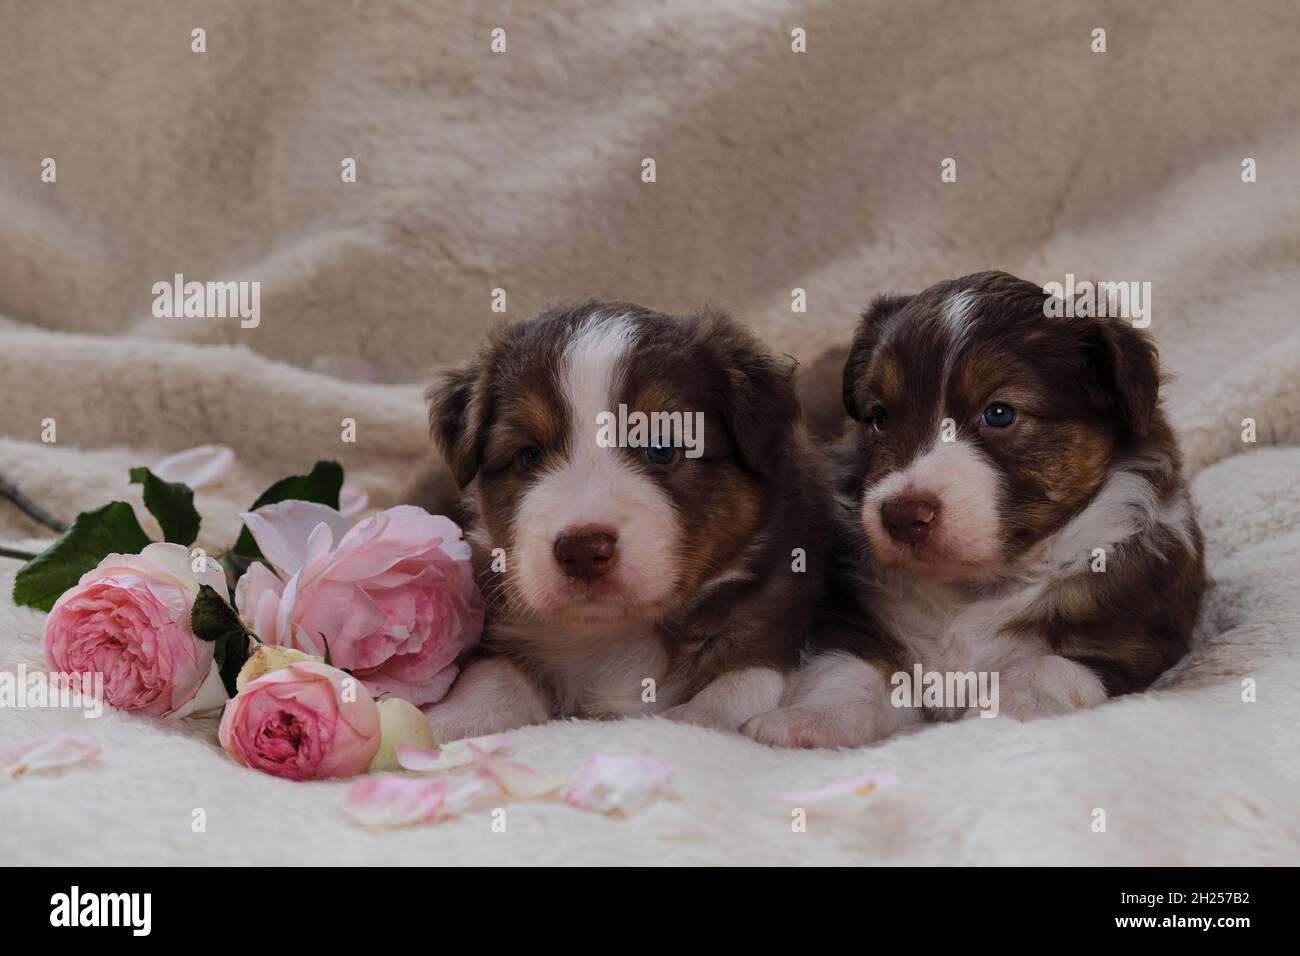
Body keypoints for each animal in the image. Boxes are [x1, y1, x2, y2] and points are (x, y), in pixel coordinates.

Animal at [421, 299, 837, 738]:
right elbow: (495, 675)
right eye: (528, 455)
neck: (615, 631)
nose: (582, 550)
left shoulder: (776, 609)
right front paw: (450, 720)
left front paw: (697, 719)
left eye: (662, 448)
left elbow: (739, 679)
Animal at [743, 269, 1206, 749]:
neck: (973, 588)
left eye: (999, 413)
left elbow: (1048, 667)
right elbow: (847, 672)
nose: (902, 516)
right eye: (880, 417)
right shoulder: (856, 622)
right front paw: (806, 721)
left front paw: (1000, 712)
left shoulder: (1136, 640)